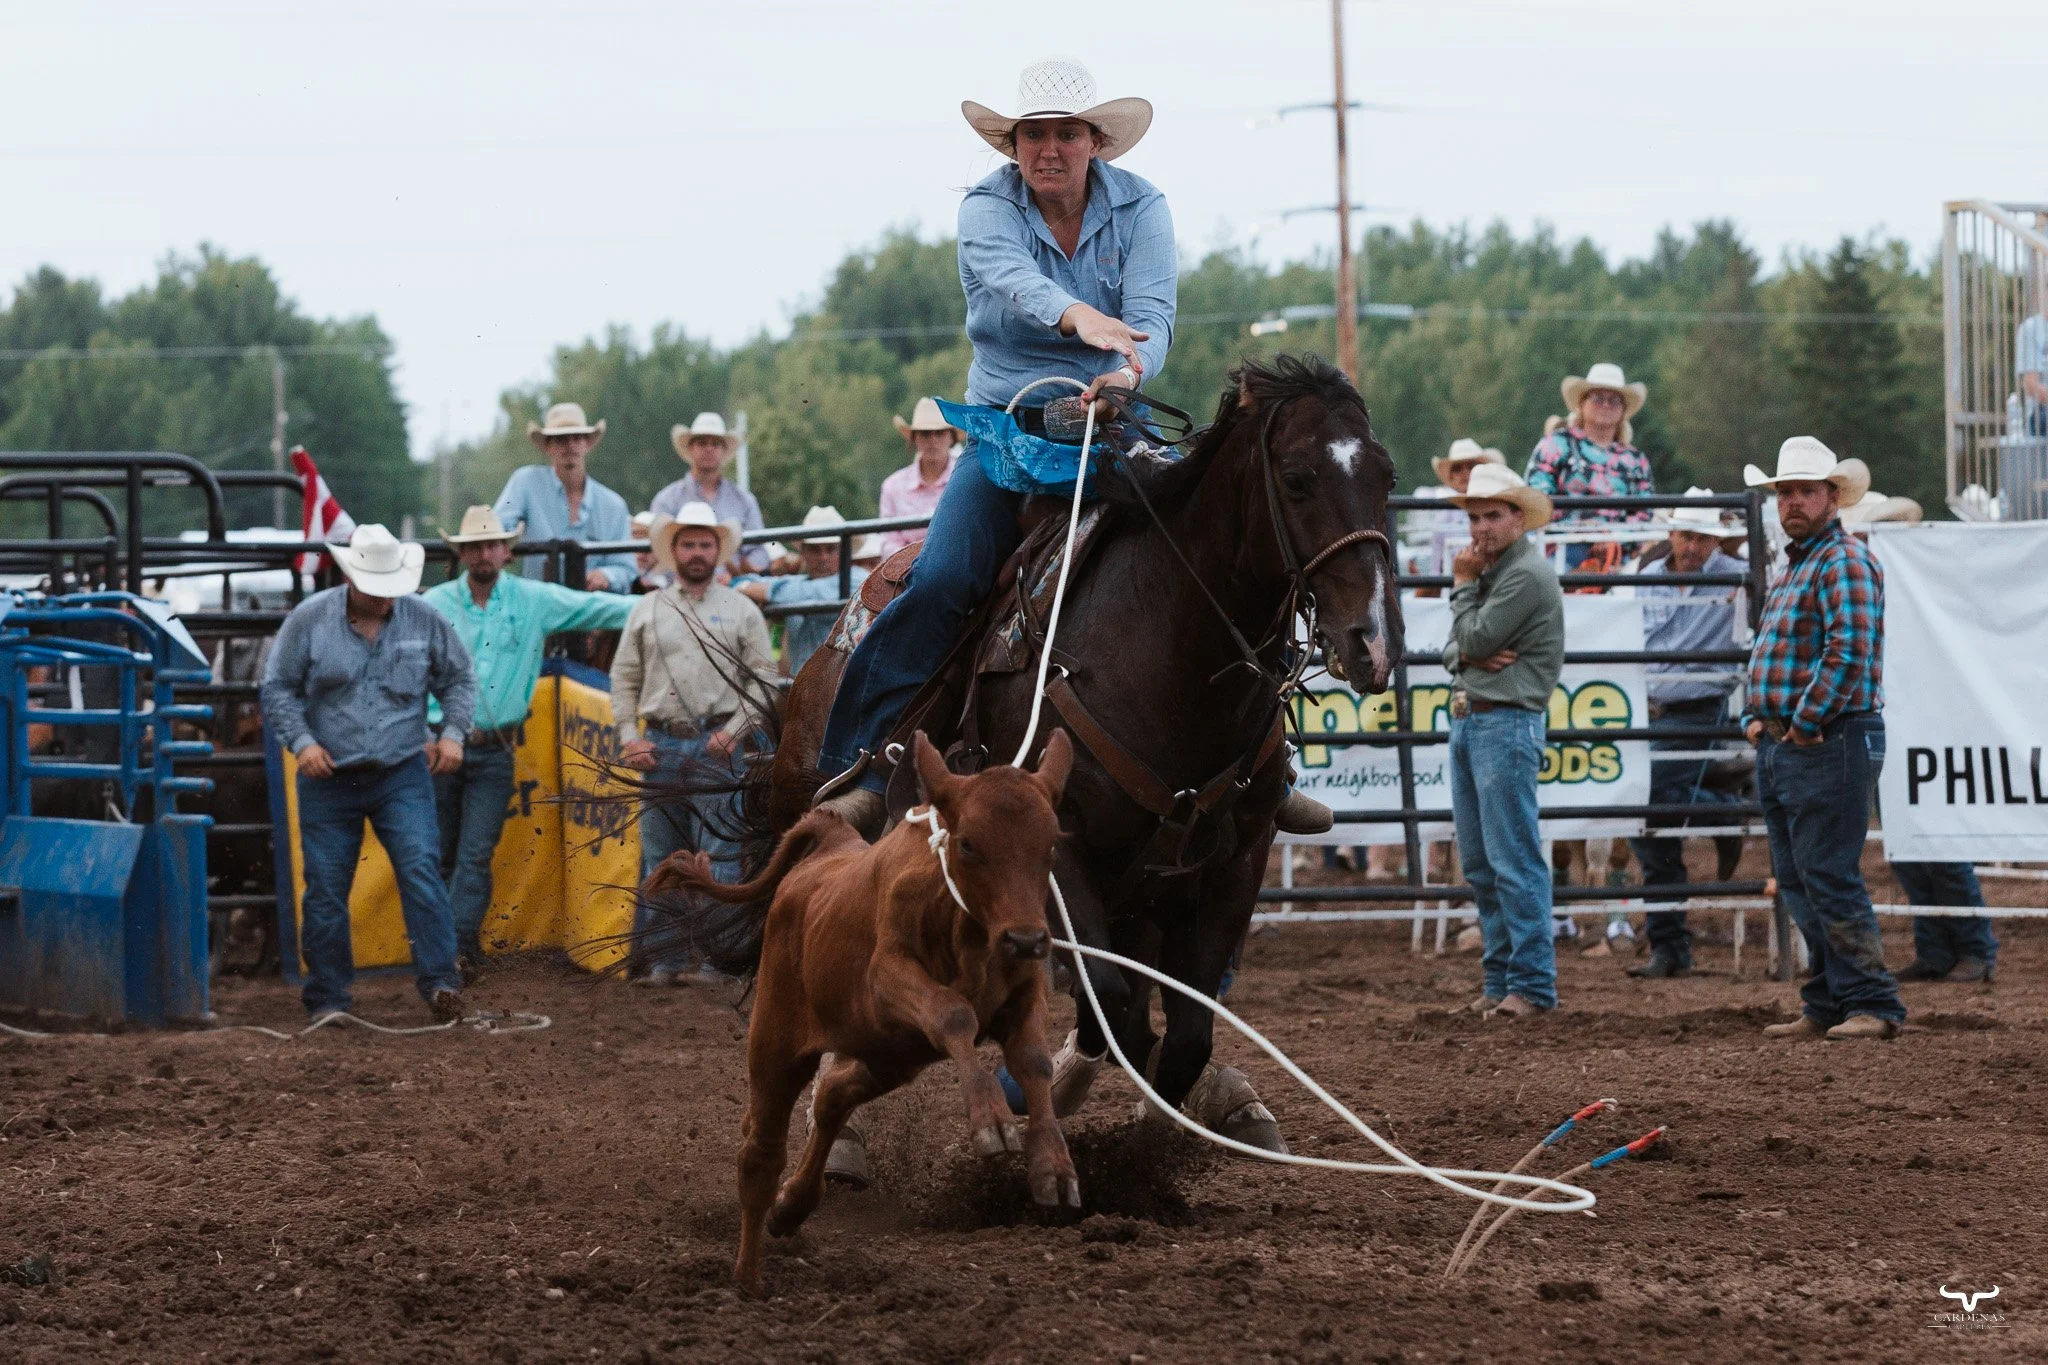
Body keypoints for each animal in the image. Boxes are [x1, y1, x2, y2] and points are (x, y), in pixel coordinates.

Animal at [651, 731, 1079, 1297]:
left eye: (1051, 843)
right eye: (968, 843)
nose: (1028, 939)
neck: (966, 928)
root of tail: (833, 848)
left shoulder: (1026, 993)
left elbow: (1033, 1061)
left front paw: (1053, 1164)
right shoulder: (887, 977)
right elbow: (956, 1015)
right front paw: (992, 1122)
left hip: (891, 1053)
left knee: (833, 1096)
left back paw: (792, 1208)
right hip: (777, 1046)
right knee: (761, 1152)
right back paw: (748, 1278)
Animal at [754, 354, 1403, 1139]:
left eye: (1387, 477)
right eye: (1299, 477)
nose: (1372, 641)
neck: (1166, 650)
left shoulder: (1234, 864)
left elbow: (1183, 1028)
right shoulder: (1062, 855)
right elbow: (1115, 1004)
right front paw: (1049, 1092)